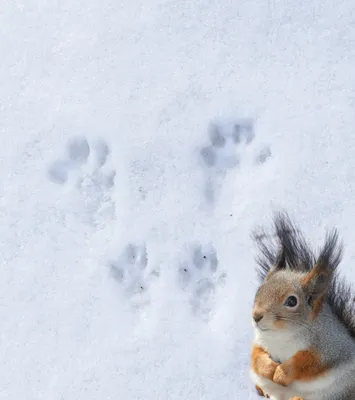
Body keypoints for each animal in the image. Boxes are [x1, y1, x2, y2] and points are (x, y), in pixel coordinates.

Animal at [249, 211, 355, 398]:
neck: (281, 335)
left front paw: (280, 373)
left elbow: (306, 362)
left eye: (292, 301)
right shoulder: (259, 342)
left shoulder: (330, 349)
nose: (256, 316)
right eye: (259, 290)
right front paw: (269, 368)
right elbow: (256, 357)